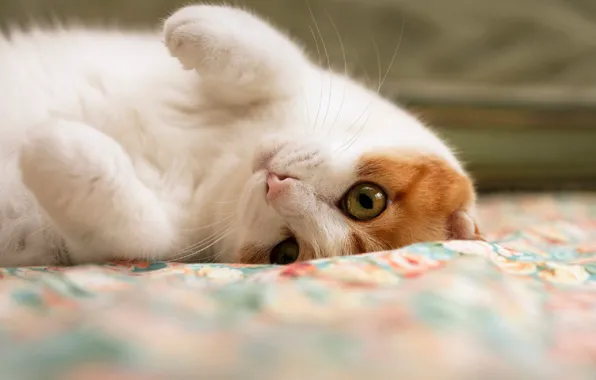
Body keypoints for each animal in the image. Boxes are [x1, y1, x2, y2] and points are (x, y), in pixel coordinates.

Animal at [0, 3, 482, 268]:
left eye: (286, 253)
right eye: (366, 200)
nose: (276, 185)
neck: (227, 159)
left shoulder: (149, 241)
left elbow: (129, 221)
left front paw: (57, 147)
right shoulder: (305, 83)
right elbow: (277, 62)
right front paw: (194, 28)